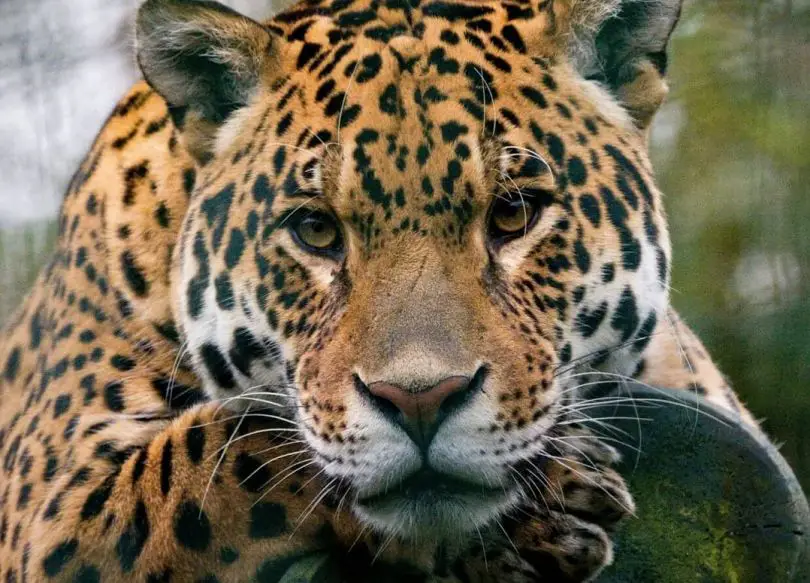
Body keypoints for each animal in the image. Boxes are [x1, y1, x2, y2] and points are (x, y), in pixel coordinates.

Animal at [0, 0, 759, 581]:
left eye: (514, 213)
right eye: (315, 229)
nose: (420, 402)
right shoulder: (48, 515)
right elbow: (228, 447)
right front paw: (541, 509)